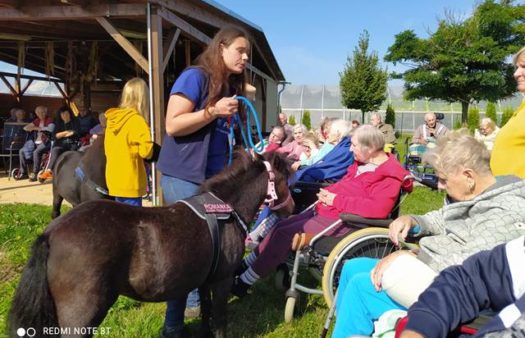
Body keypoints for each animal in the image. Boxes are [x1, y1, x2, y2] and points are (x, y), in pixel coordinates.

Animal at [9, 151, 294, 338]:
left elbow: (206, 315)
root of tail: (51, 234)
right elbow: (220, 321)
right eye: (285, 180)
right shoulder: (221, 280)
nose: (292, 209)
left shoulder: (205, 281)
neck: (225, 210)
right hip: (80, 316)